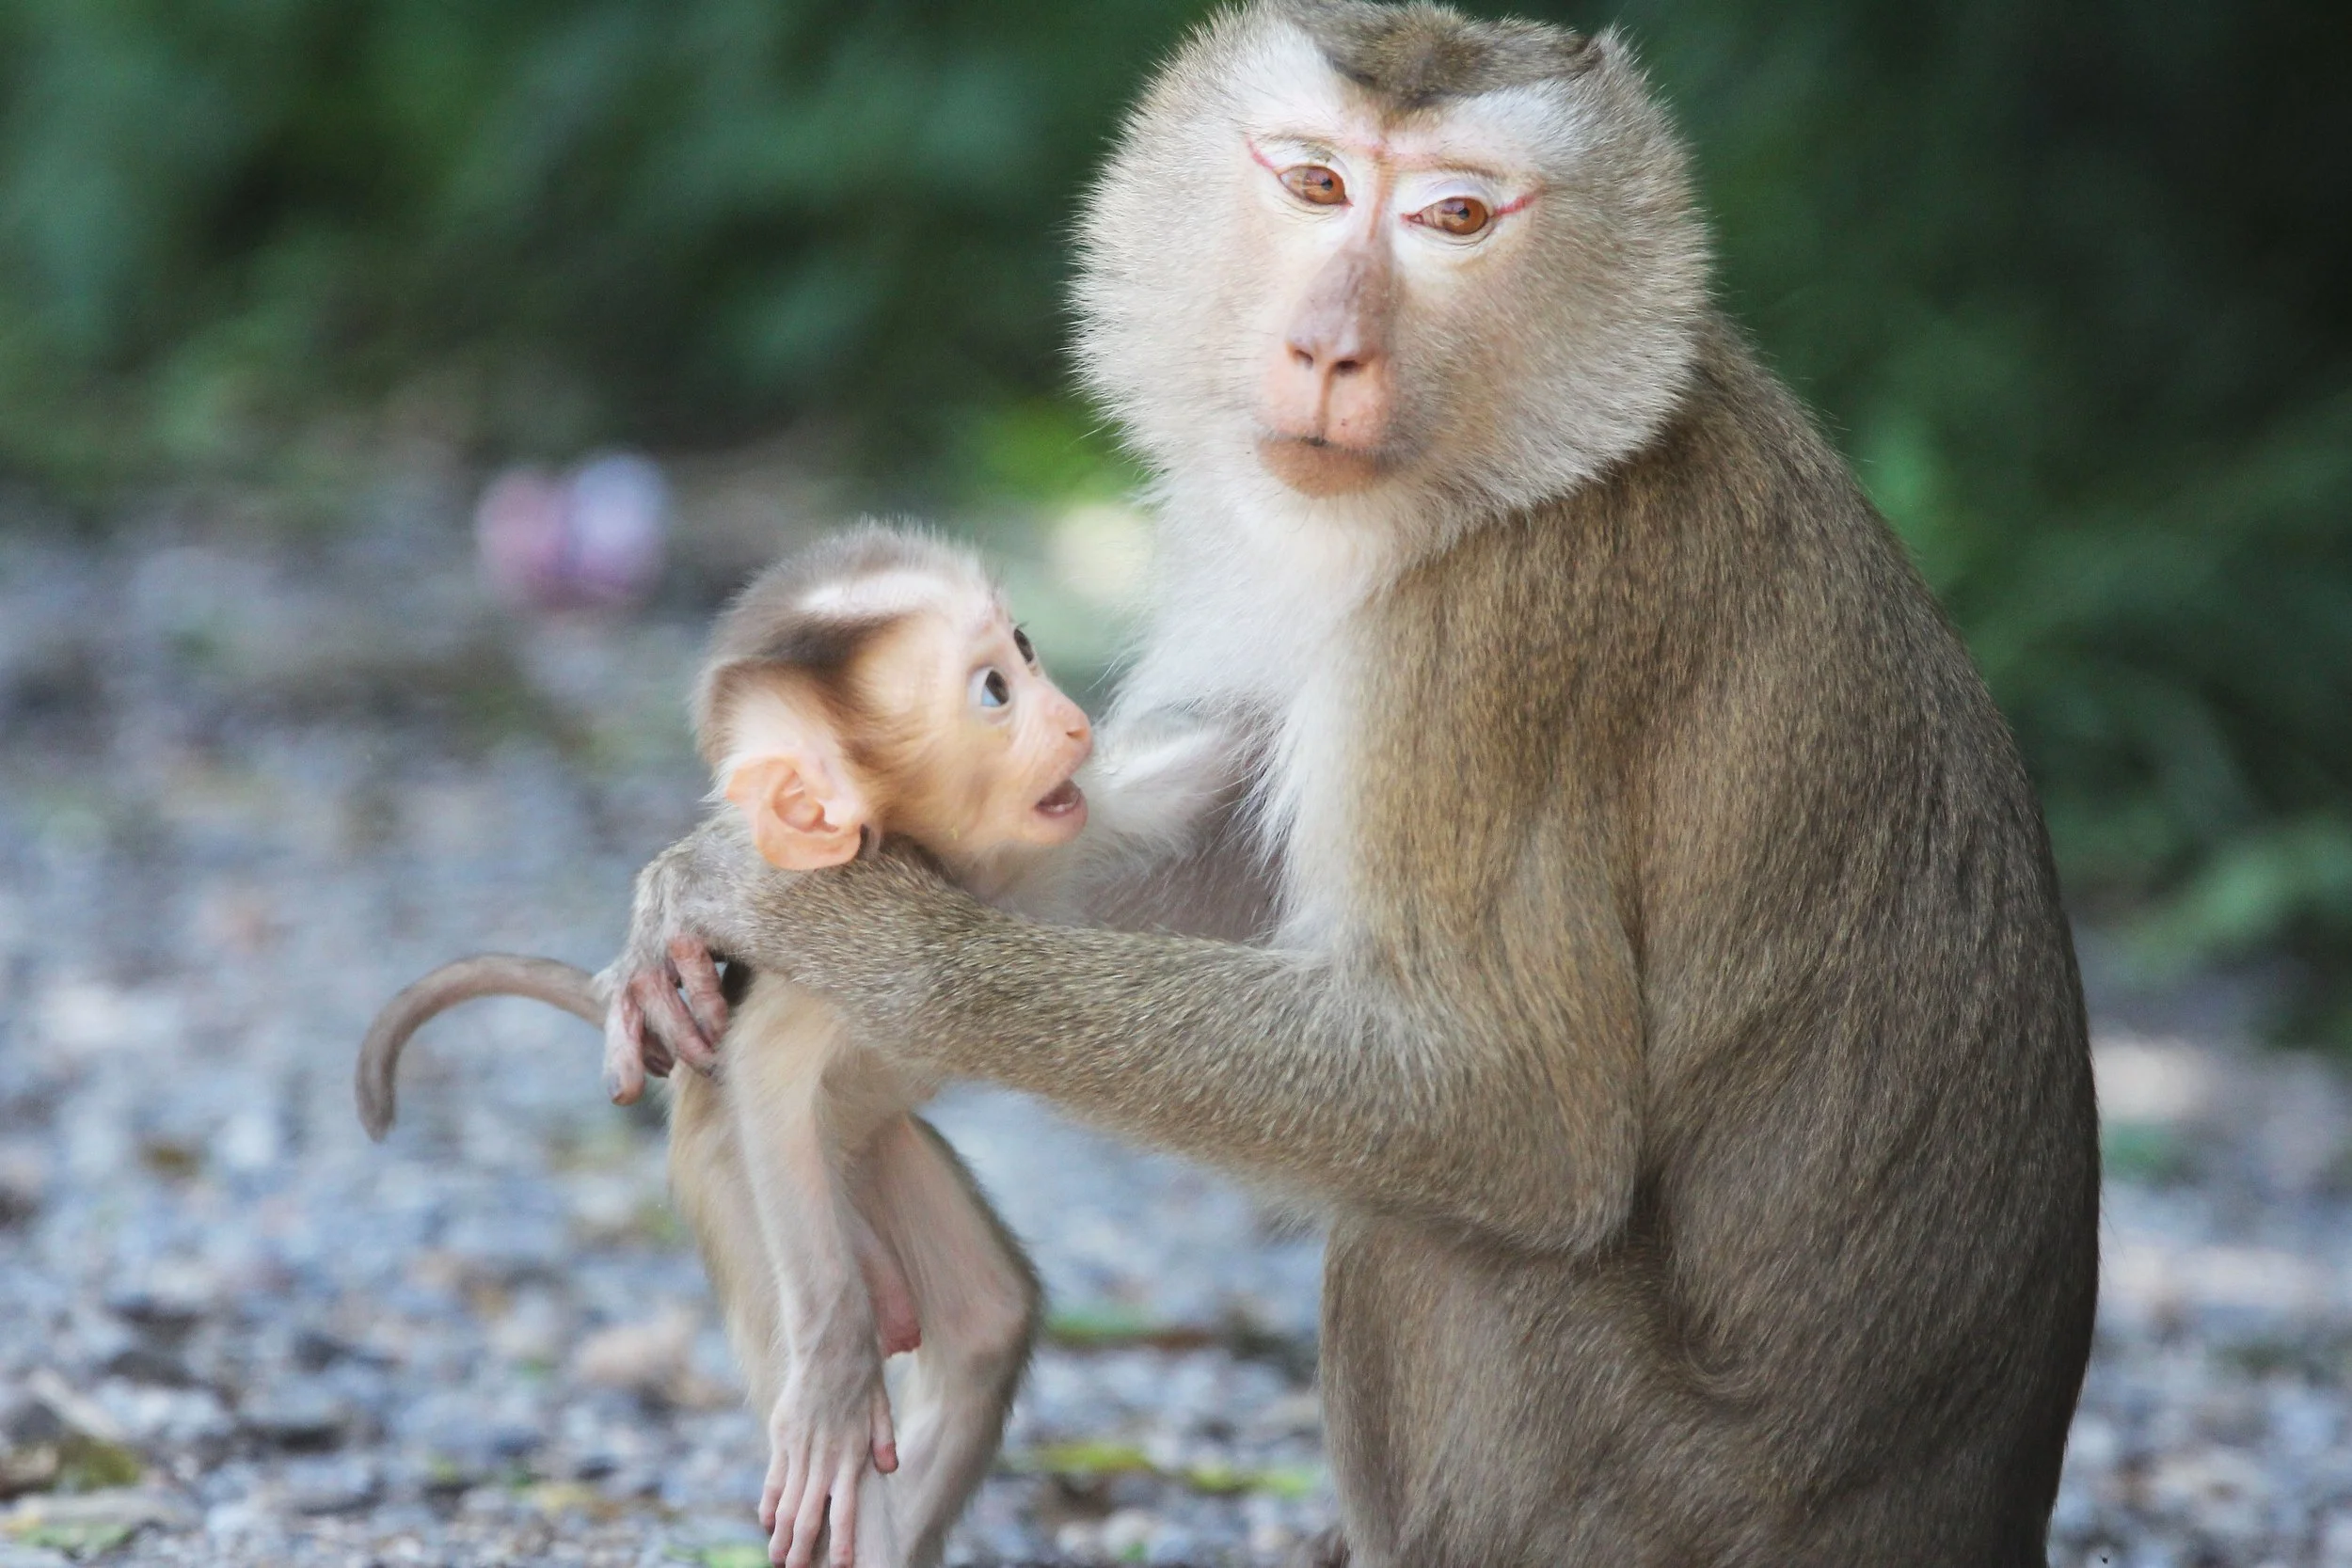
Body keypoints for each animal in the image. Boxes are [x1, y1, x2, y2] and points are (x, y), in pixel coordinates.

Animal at [357, 527, 1161, 1568]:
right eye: (994, 691)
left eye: (1024, 647)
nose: (1069, 720)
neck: (946, 862)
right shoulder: (830, 946)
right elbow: (768, 1083)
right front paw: (834, 1361)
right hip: (733, 1184)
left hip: (877, 1152)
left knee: (987, 1320)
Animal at [603, 5, 2099, 1567]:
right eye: (1318, 184)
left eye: (1455, 218)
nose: (1328, 347)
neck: (1507, 471)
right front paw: (693, 887)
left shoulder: (1490, 634)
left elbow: (1514, 1101)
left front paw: (868, 944)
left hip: (1660, 1505)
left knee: (1417, 1223)